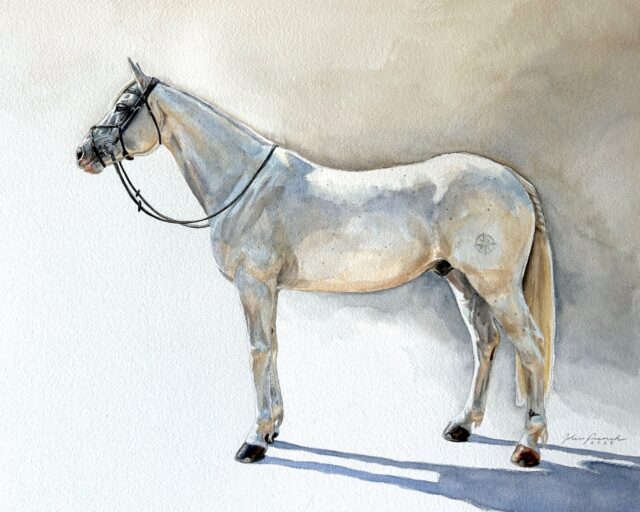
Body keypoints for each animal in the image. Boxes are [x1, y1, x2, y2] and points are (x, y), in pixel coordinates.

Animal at [76, 59, 555, 467]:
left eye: (123, 107)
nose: (83, 153)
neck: (247, 186)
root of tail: (514, 179)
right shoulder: (267, 289)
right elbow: (272, 347)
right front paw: (273, 429)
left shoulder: (254, 285)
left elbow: (258, 350)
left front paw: (255, 439)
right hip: (463, 281)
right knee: (485, 342)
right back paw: (463, 425)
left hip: (496, 286)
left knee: (531, 346)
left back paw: (528, 446)